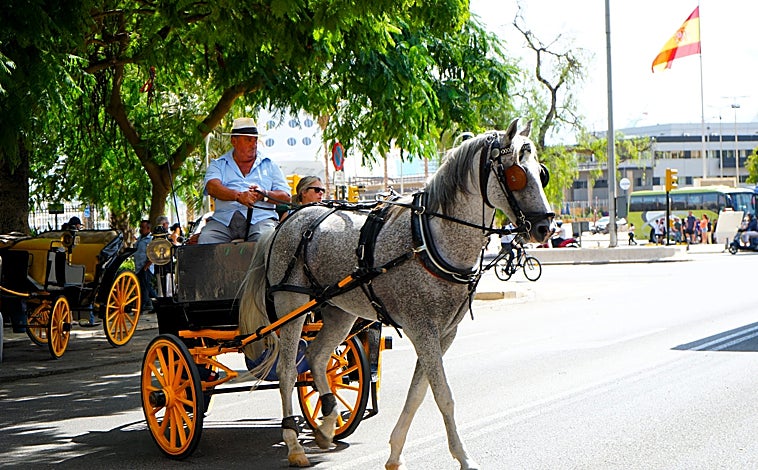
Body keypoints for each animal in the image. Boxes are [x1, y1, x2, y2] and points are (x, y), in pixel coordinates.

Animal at [239, 118, 554, 469]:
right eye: (516, 173)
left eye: (541, 173)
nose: (545, 227)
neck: (429, 240)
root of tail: (289, 220)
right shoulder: (423, 329)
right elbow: (443, 395)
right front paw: (463, 456)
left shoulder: (444, 333)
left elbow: (418, 393)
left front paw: (394, 451)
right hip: (291, 307)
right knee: (288, 371)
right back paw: (295, 444)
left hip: (339, 312)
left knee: (318, 358)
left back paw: (328, 423)